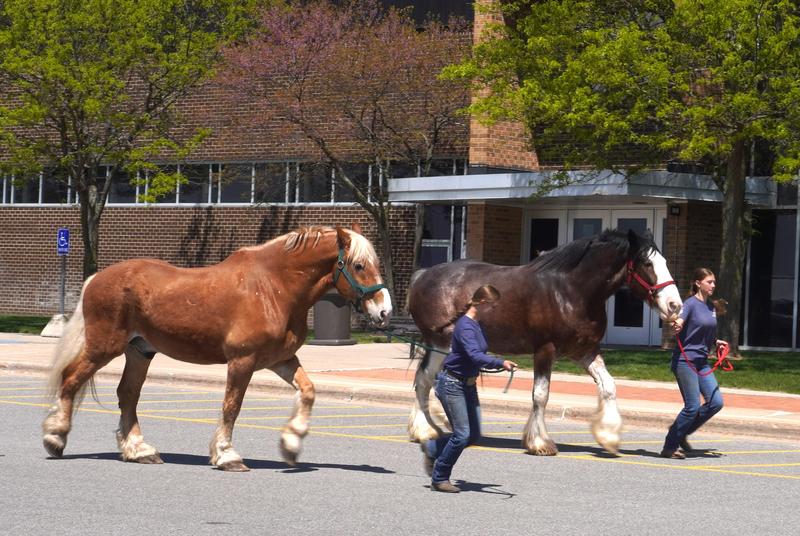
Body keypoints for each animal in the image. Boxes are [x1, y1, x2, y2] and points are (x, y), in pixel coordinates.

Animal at [42, 225, 392, 471]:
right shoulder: (242, 360)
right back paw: (55, 437)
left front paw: (292, 443)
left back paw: (139, 450)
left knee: (127, 394)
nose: (384, 311)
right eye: (359, 266)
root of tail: (96, 278)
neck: (272, 287)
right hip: (104, 347)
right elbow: (231, 407)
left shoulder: (281, 359)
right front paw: (226, 456)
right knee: (71, 380)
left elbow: (308, 391)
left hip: (139, 351)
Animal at [406, 229, 682, 455]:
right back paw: (424, 430)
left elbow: (609, 386)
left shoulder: (586, 351)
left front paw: (609, 436)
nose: (675, 305)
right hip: (439, 343)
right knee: (424, 379)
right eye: (647, 263)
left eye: (666, 262)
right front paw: (539, 442)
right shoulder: (544, 350)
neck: (571, 291)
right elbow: (540, 395)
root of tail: (423, 275)